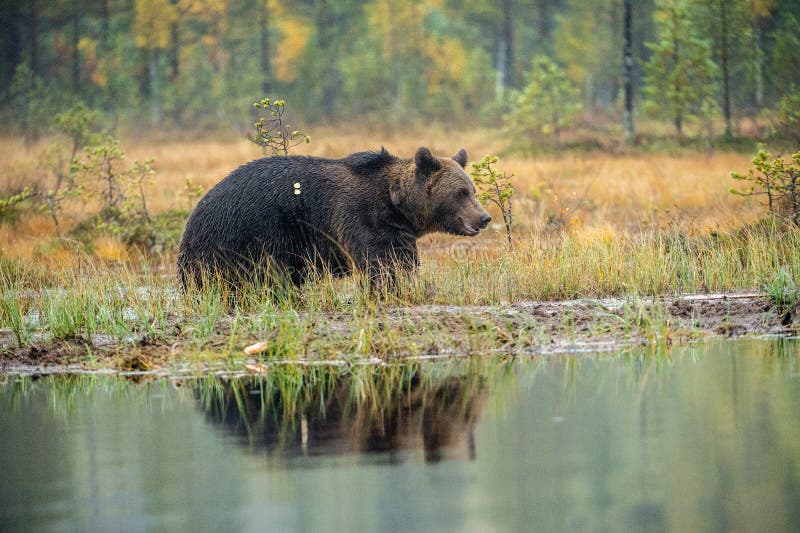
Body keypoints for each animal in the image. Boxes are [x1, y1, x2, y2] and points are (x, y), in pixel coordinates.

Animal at [178, 148, 490, 290]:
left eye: (472, 190)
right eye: (461, 192)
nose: (484, 217)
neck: (396, 203)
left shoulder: (395, 226)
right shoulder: (363, 215)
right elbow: (384, 260)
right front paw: (393, 283)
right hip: (243, 235)